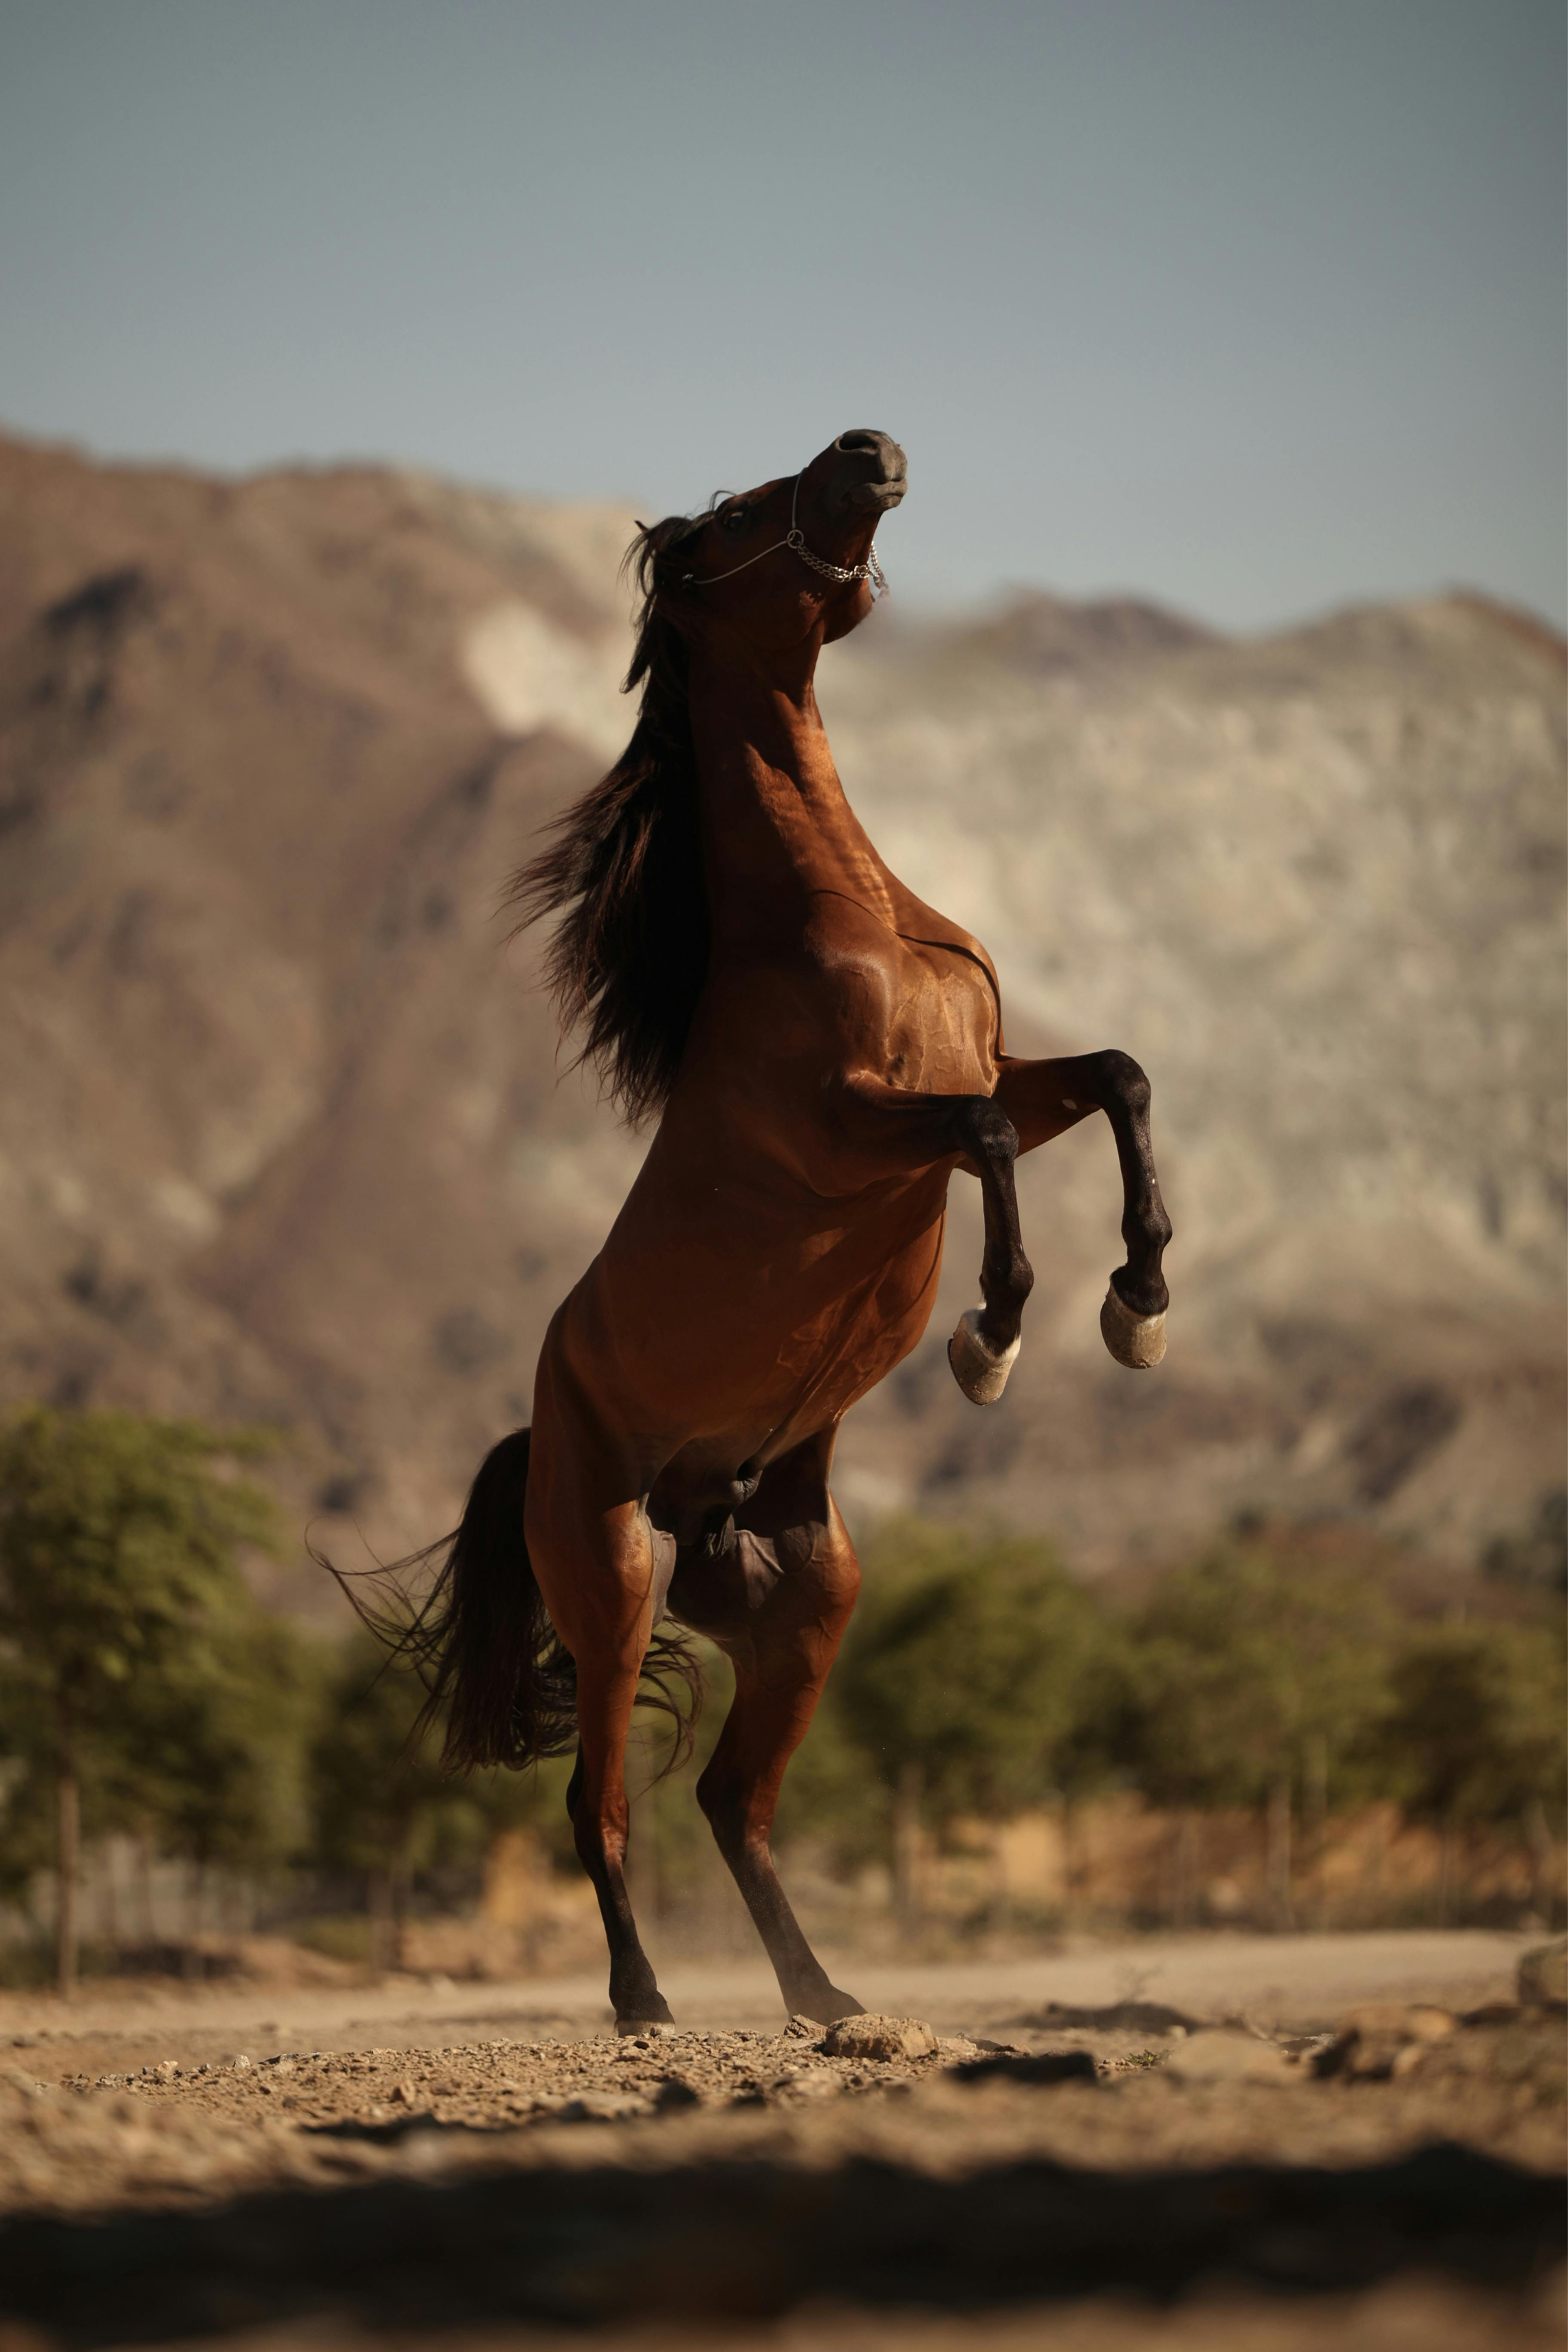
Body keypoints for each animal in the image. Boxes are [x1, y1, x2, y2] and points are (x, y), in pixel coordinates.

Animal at [394, 428, 1172, 2033]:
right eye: (741, 514)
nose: (872, 453)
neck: (842, 918)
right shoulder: (863, 1133)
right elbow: (984, 1145)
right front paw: (994, 1337)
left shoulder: (999, 1072)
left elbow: (1118, 1076)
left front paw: (1140, 1304)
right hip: (614, 1588)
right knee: (600, 1809)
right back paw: (644, 2004)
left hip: (807, 1603)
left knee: (733, 1807)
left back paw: (828, 1998)